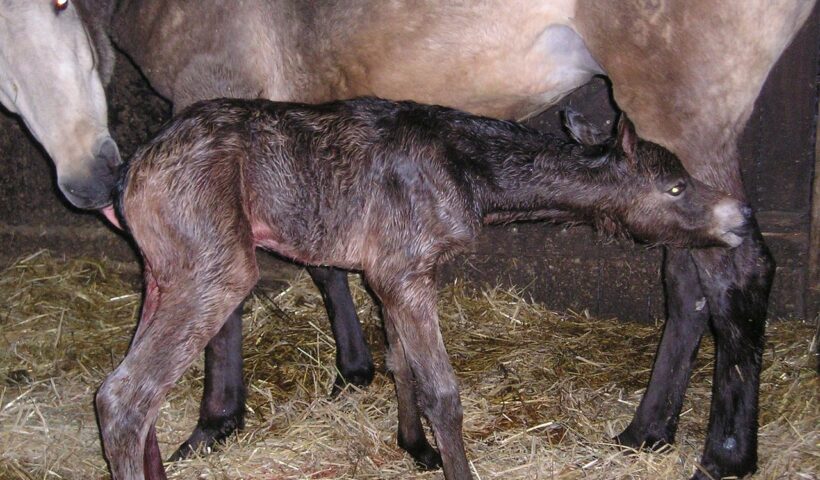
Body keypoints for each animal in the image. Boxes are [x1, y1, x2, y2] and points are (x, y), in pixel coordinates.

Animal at [97, 1, 820, 478]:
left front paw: (413, 449)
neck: (462, 165)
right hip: (215, 270)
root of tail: (134, 172)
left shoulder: (396, 274)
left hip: (165, 274)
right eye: (673, 187)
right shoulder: (402, 271)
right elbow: (443, 391)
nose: (737, 214)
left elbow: (402, 365)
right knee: (125, 396)